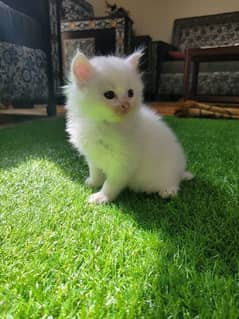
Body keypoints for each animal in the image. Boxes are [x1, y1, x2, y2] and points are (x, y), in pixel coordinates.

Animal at [64, 50, 192, 205]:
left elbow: (111, 183)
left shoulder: (124, 163)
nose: (126, 105)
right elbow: (95, 172)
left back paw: (168, 191)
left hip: (168, 171)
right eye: (109, 95)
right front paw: (93, 183)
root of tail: (180, 171)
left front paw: (102, 196)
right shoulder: (93, 156)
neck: (103, 123)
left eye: (130, 93)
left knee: (173, 182)